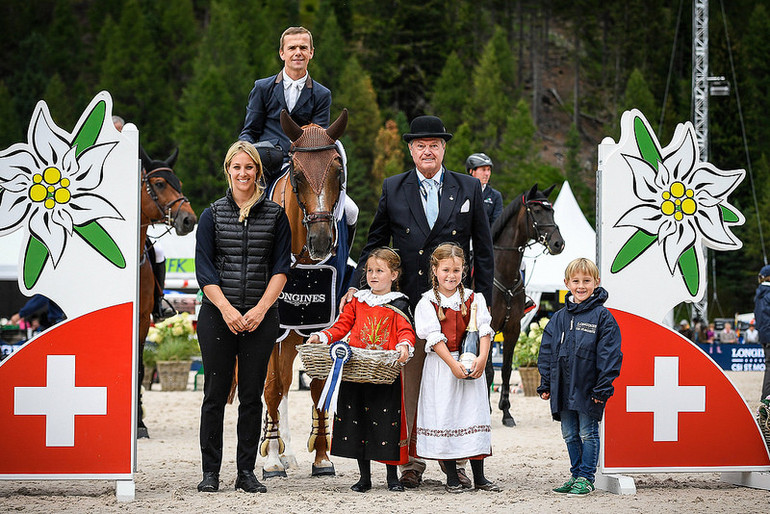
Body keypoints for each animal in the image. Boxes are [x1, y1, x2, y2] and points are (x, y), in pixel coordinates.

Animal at [488, 183, 560, 424]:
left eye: (552, 211)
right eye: (536, 211)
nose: (558, 243)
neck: (503, 272)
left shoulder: (513, 328)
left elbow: (506, 369)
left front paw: (506, 412)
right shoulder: (489, 327)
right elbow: (489, 371)